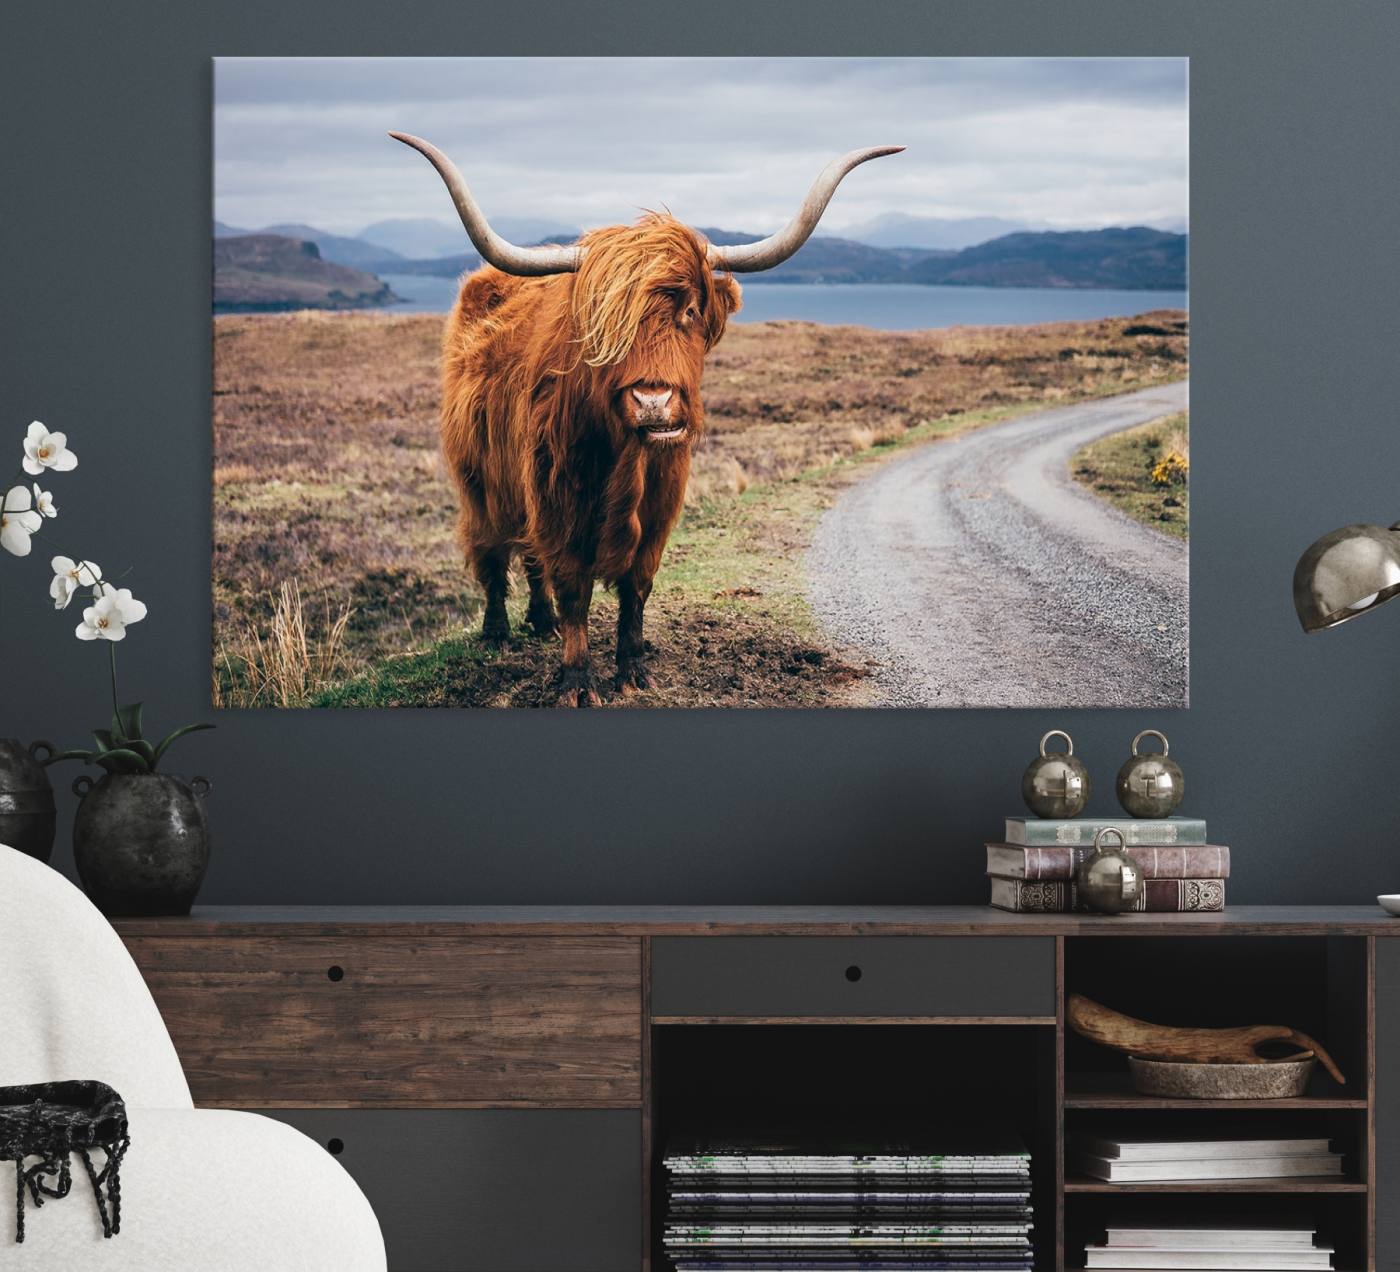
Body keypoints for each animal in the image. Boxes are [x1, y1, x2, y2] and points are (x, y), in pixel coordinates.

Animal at [391, 133, 902, 705]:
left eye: (691, 310)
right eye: (604, 321)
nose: (653, 401)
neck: (625, 461)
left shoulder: (659, 507)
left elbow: (636, 588)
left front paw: (633, 669)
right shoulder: (556, 500)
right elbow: (573, 588)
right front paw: (577, 681)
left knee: (528, 558)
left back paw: (540, 623)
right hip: (480, 480)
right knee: (494, 553)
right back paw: (498, 632)